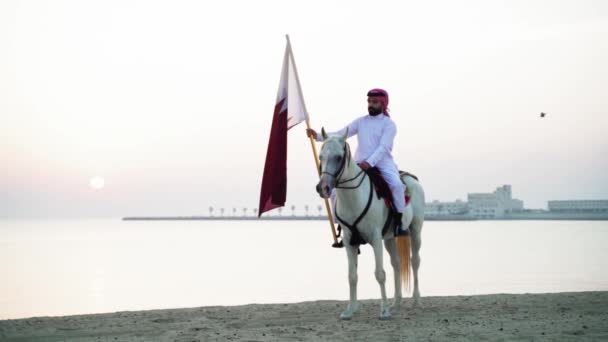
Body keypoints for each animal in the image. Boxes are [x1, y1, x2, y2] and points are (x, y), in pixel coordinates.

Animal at [316, 127, 426, 320]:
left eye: (338, 157)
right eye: (321, 156)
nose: (323, 188)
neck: (354, 197)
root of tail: (412, 179)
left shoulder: (375, 239)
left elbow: (380, 274)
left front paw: (384, 311)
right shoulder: (349, 242)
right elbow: (352, 275)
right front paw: (350, 310)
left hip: (415, 231)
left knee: (415, 261)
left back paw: (416, 300)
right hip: (389, 239)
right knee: (396, 263)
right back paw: (396, 302)